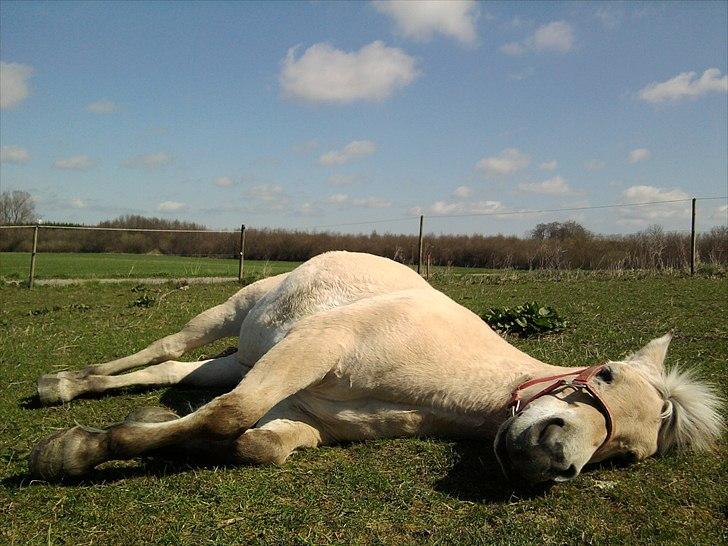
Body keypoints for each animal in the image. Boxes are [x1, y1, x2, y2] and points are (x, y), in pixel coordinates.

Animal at [29, 250, 724, 480]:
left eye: (628, 454)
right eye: (604, 375)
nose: (555, 455)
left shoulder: (306, 412)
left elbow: (251, 440)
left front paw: (143, 433)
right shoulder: (314, 350)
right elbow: (232, 415)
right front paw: (75, 451)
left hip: (246, 355)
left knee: (180, 375)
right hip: (236, 310)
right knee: (168, 349)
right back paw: (58, 386)